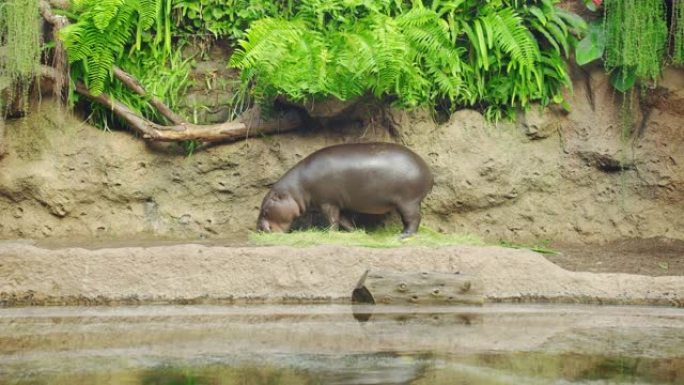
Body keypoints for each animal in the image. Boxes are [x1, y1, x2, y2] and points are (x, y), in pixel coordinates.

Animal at [256, 141, 432, 237]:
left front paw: (328, 234)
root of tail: (427, 169)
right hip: (412, 201)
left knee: (413, 219)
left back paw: (403, 236)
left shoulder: (327, 202)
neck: (296, 189)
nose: (259, 230)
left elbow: (332, 219)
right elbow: (344, 220)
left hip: (408, 201)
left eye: (265, 211)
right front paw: (356, 232)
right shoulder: (340, 203)